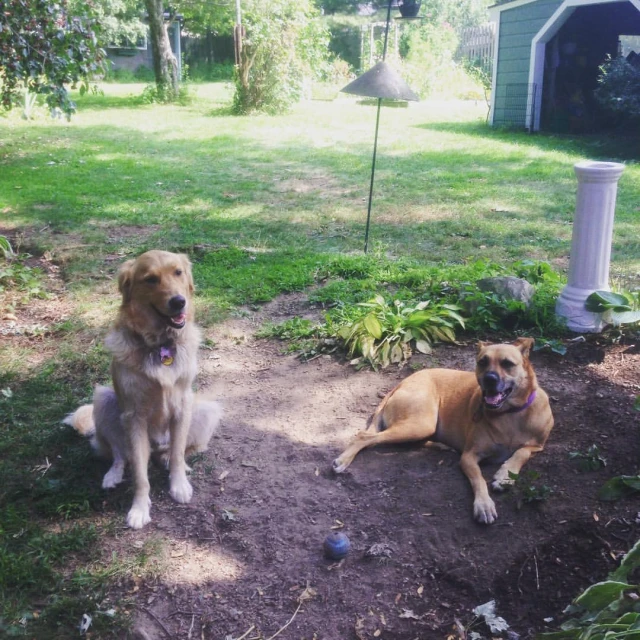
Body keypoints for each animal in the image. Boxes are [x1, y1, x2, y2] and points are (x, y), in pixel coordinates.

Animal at [336, 338, 556, 524]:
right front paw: (484, 505)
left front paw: (505, 475)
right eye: (482, 362)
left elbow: (521, 452)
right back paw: (343, 460)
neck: (510, 414)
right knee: (365, 435)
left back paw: (441, 445)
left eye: (508, 363)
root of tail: (400, 383)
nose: (489, 379)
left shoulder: (537, 445)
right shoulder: (468, 457)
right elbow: (479, 480)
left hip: (420, 427)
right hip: (421, 423)